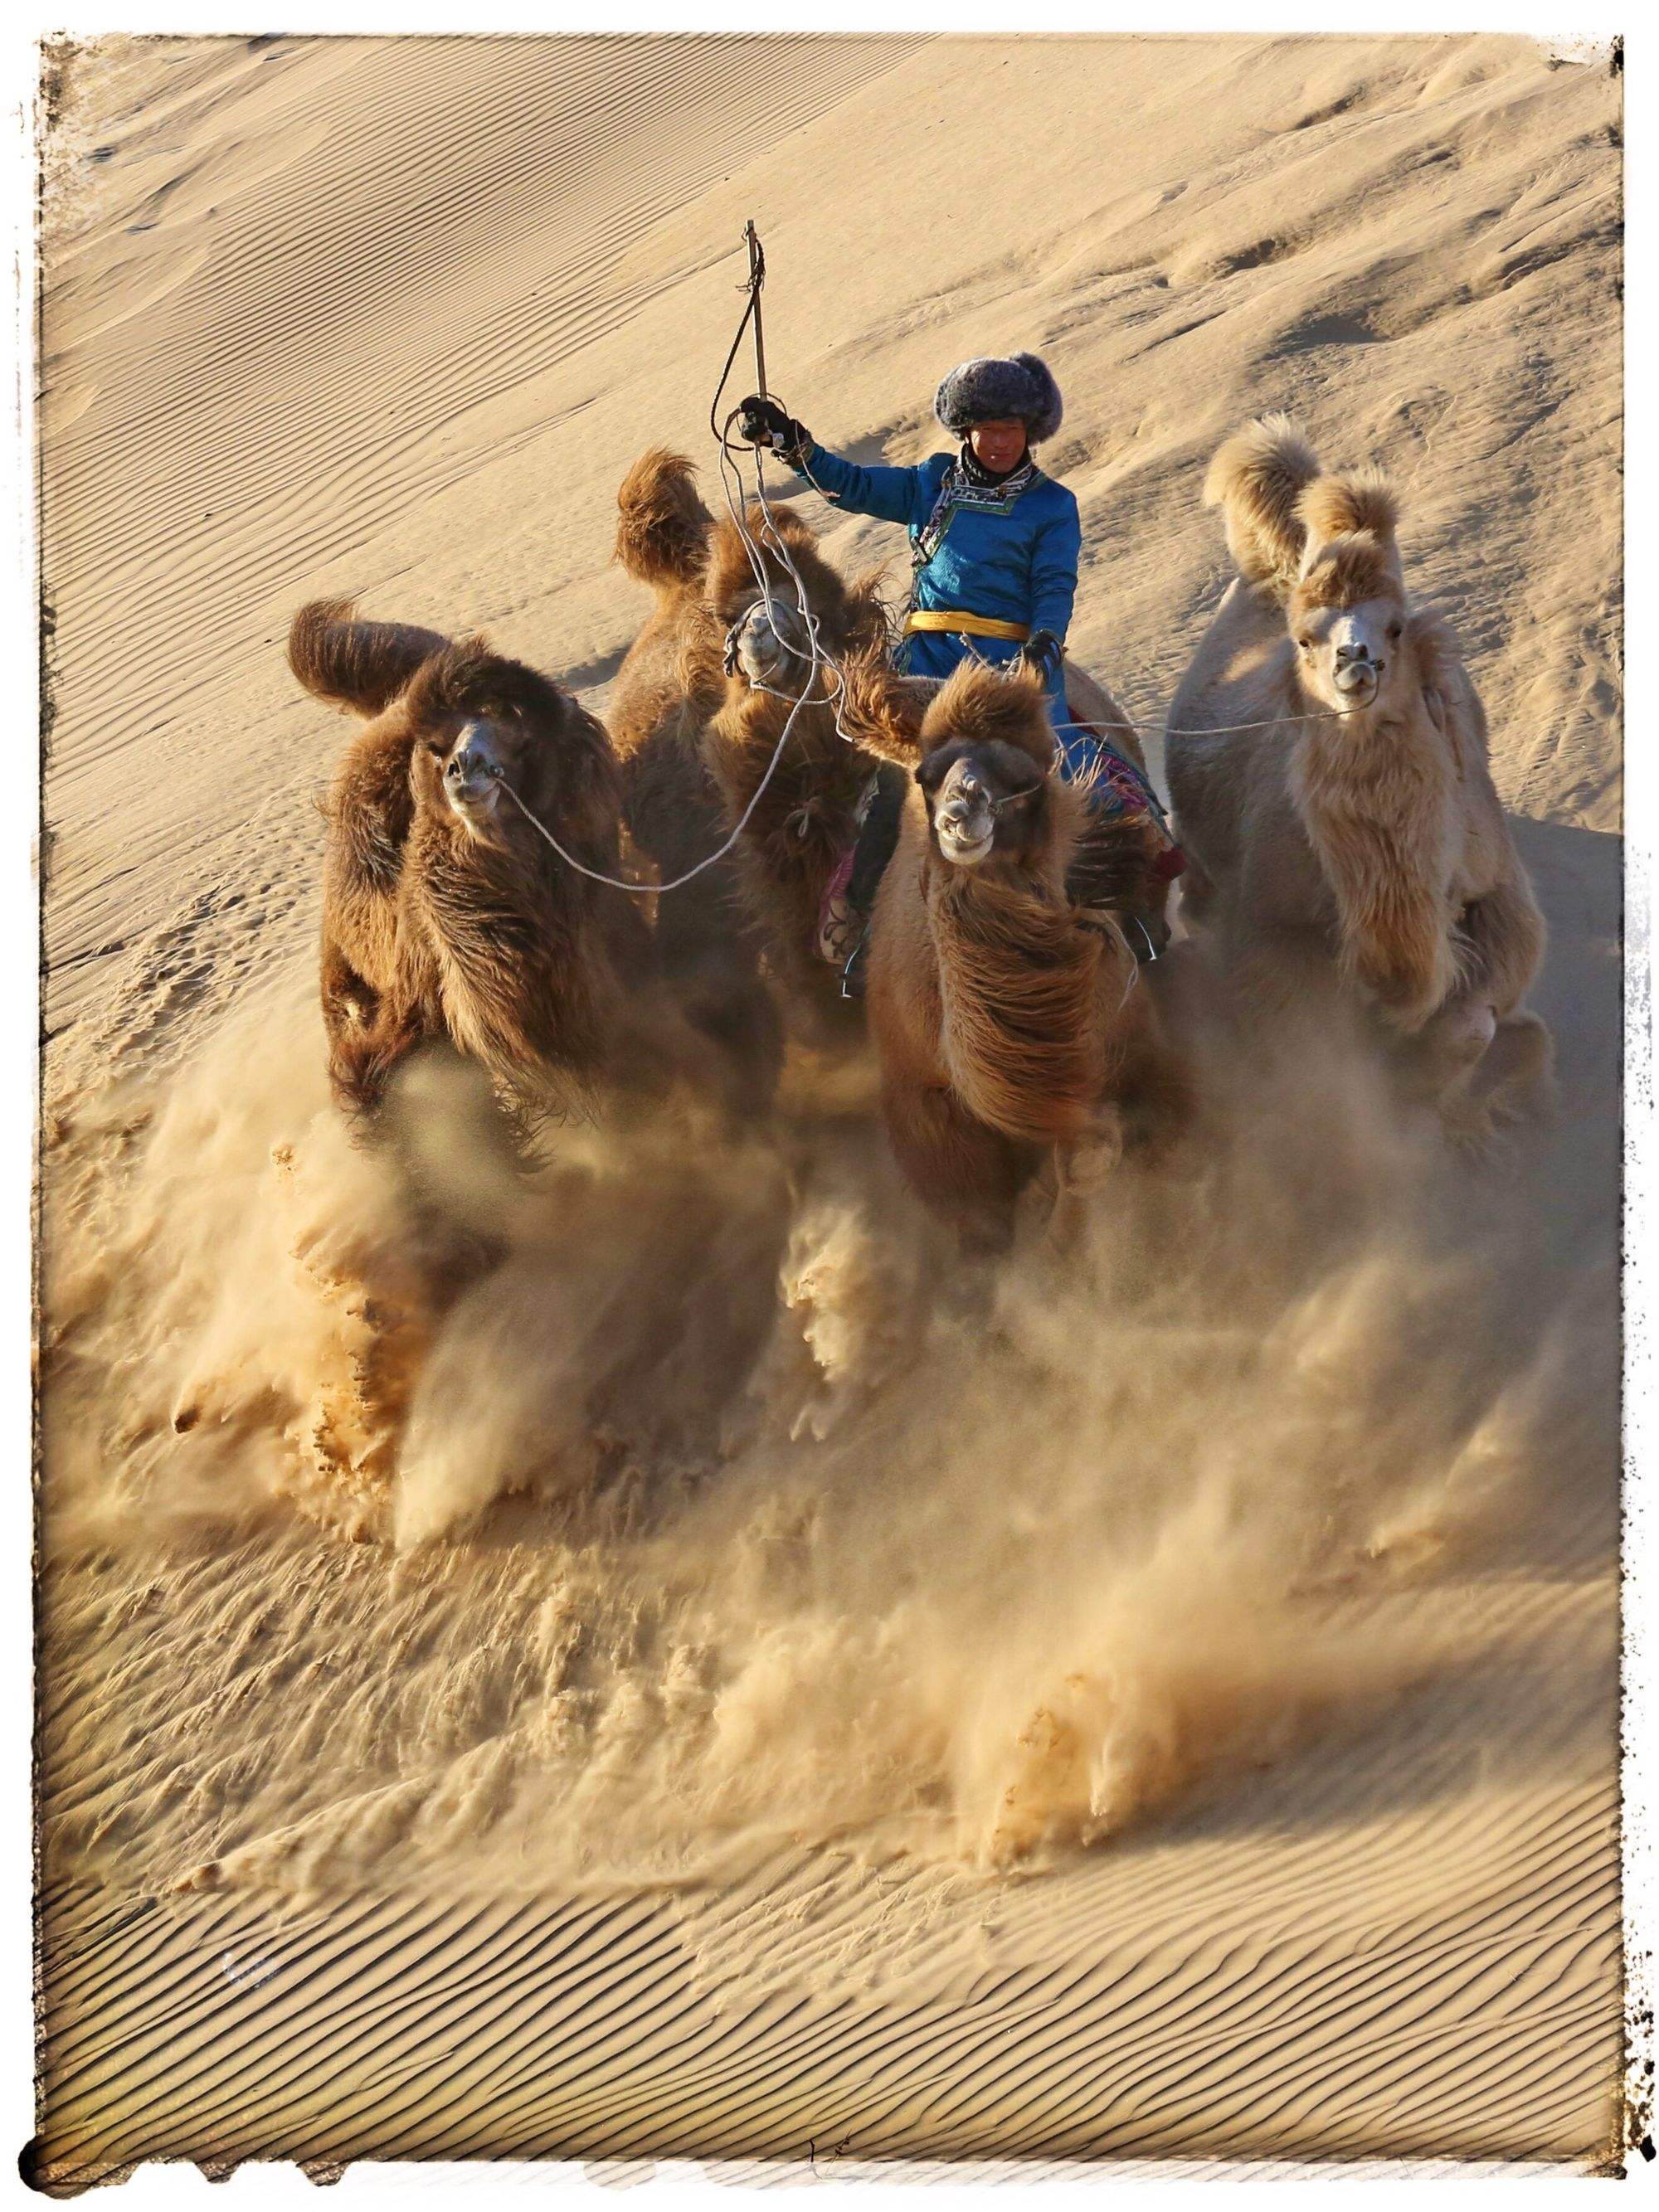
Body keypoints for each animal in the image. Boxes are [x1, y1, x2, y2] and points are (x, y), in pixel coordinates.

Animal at [844, 650, 1194, 1247]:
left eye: (1029, 772)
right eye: (926, 775)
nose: (962, 814)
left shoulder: (1137, 1055)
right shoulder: (934, 1134)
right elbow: (997, 1222)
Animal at [1168, 418, 1557, 1123]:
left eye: (1396, 627)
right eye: (1304, 639)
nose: (1356, 660)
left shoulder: (1499, 895)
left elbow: (1477, 1021)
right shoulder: (1276, 932)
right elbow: (1314, 1054)